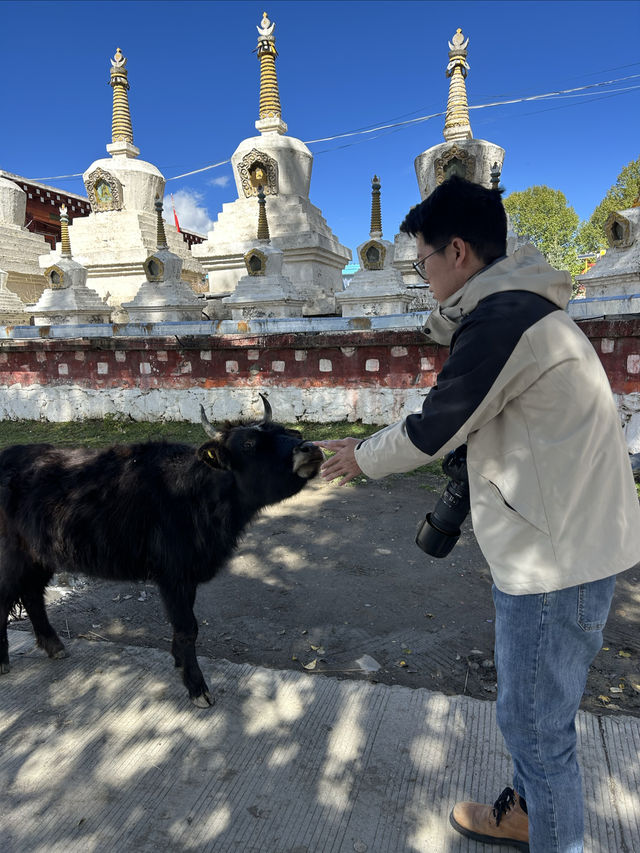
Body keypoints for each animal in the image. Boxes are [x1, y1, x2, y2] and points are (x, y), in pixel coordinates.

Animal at [0, 400, 320, 704]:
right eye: (249, 444)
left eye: (289, 432)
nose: (310, 449)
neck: (198, 496)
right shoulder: (173, 575)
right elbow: (188, 628)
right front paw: (197, 688)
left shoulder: (187, 575)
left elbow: (186, 626)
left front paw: (180, 664)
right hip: (12, 557)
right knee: (6, 600)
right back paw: (5, 661)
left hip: (38, 557)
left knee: (32, 595)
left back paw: (54, 645)